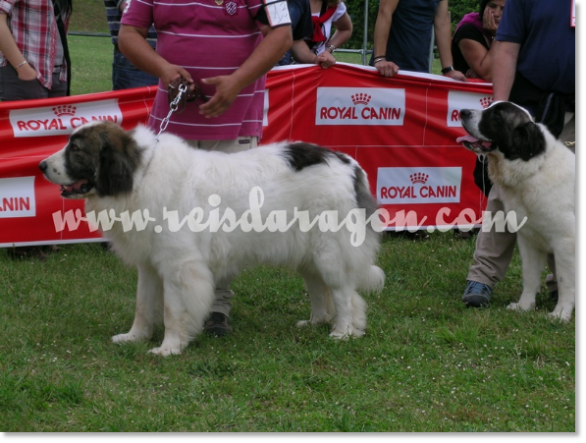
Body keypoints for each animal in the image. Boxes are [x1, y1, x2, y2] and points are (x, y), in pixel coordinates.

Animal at [38, 121, 386, 358]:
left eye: (76, 150)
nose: (41, 165)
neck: (139, 176)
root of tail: (350, 164)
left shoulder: (180, 267)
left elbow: (172, 310)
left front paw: (169, 348)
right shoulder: (150, 266)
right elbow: (143, 306)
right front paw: (134, 338)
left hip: (330, 252)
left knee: (344, 294)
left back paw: (342, 332)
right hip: (309, 254)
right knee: (321, 289)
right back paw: (316, 322)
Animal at [456, 102, 576, 320]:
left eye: (497, 115)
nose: (463, 112)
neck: (534, 168)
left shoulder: (566, 242)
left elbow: (565, 281)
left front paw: (560, 314)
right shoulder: (528, 240)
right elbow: (529, 275)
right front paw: (524, 306)